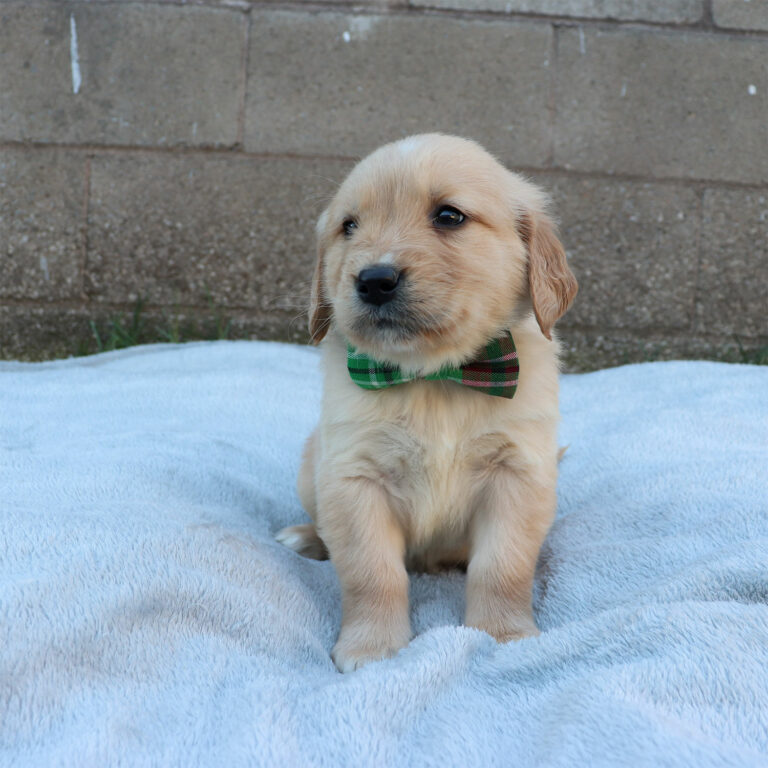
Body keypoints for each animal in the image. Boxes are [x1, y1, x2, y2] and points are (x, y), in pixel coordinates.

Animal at [278, 134, 576, 672]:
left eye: (449, 216)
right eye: (349, 226)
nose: (373, 279)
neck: (434, 377)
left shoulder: (517, 475)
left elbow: (502, 566)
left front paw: (503, 634)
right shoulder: (354, 479)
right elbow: (372, 573)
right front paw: (372, 648)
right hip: (312, 468)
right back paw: (308, 537)